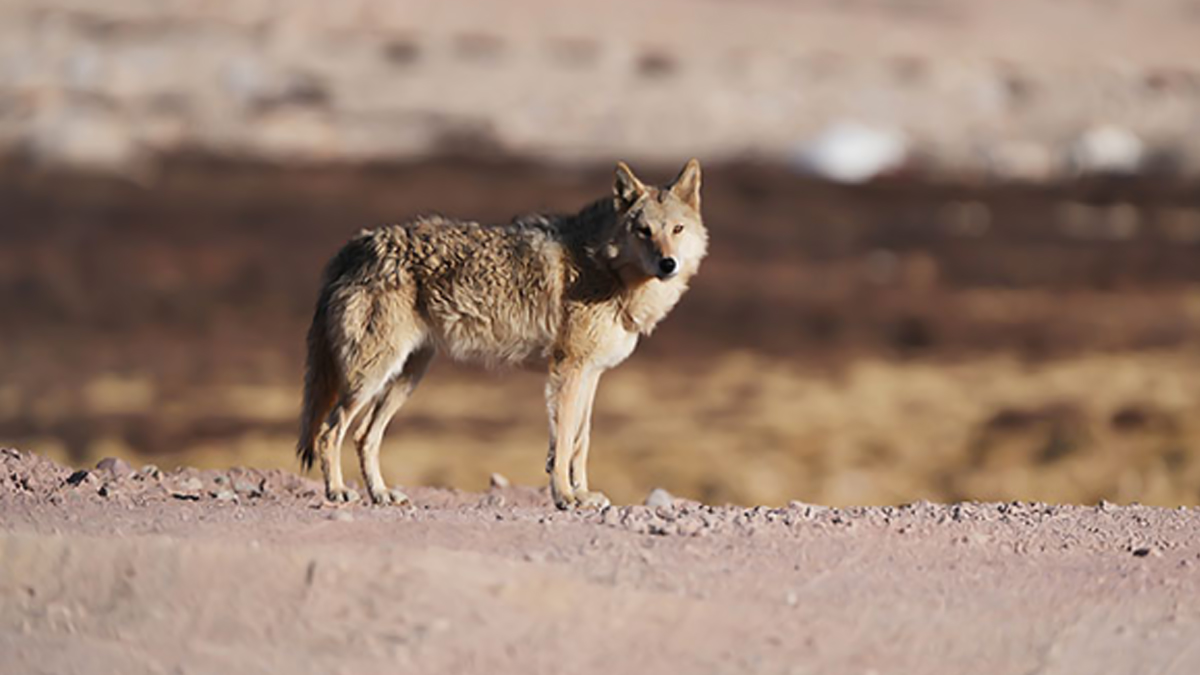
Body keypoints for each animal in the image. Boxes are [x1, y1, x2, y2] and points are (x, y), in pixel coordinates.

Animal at [297, 159, 707, 509]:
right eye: (643, 231)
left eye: (677, 229)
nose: (667, 264)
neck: (606, 269)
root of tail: (357, 243)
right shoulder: (567, 371)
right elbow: (562, 442)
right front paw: (564, 497)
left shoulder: (591, 374)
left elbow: (580, 441)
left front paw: (583, 494)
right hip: (370, 377)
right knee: (329, 431)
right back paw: (337, 491)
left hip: (406, 377)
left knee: (364, 436)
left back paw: (381, 494)